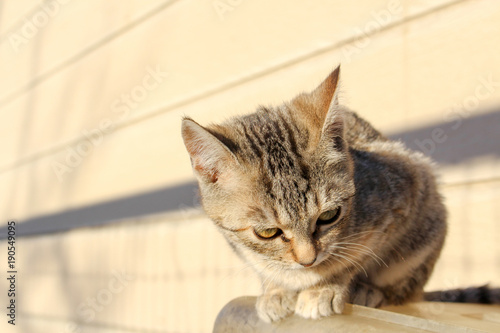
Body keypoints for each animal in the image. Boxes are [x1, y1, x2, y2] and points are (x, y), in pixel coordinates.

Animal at [182, 66, 448, 320]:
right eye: (267, 232)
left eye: (329, 216)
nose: (307, 260)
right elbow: (266, 265)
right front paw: (276, 290)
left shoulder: (402, 198)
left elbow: (351, 257)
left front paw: (324, 287)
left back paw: (369, 291)